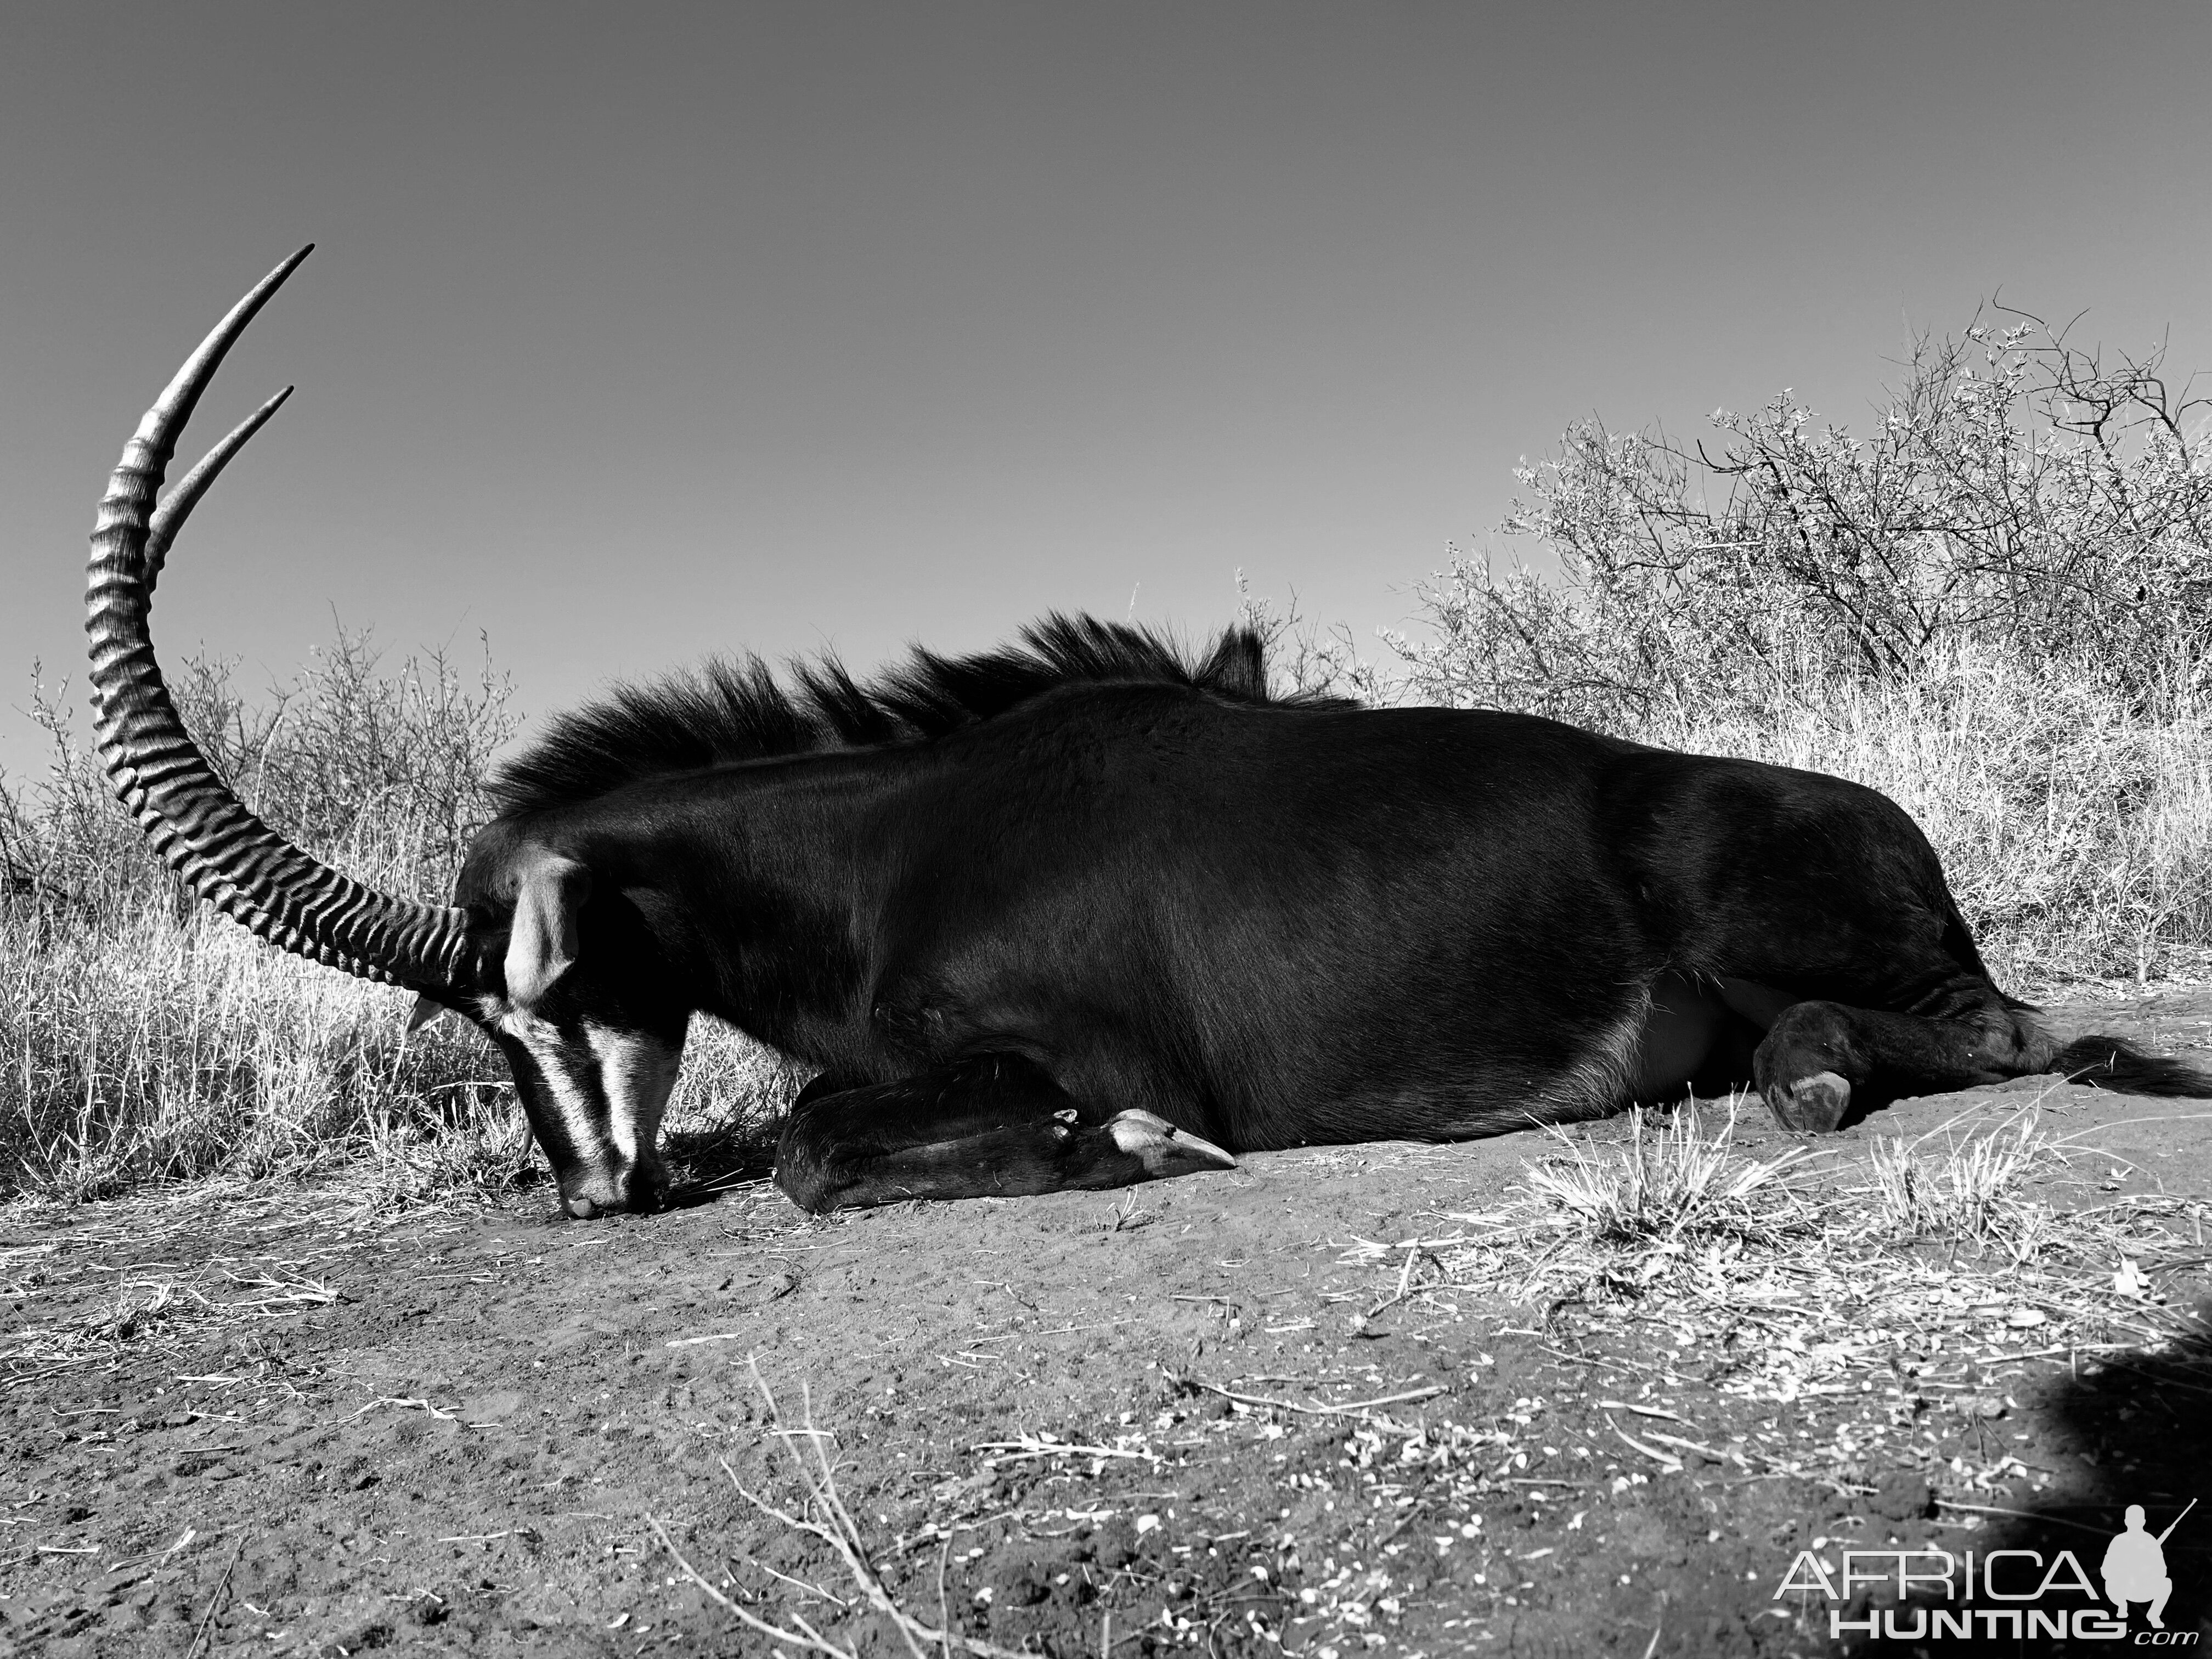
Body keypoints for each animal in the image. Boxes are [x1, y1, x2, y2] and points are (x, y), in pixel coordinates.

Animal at [91, 256, 2212, 1221]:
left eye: (527, 998)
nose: (600, 1193)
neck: (893, 850)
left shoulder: (1064, 1043)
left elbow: (819, 1147)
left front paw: (1111, 1146)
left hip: (1781, 920)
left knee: (2000, 1031)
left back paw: (1809, 1075)